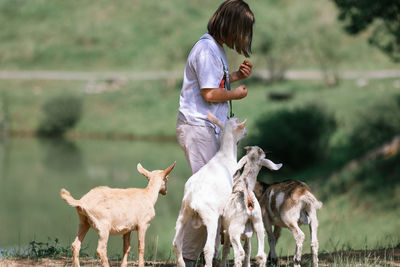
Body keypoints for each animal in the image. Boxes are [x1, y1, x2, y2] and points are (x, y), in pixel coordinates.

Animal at [173, 112, 247, 267]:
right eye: (239, 123)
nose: (246, 131)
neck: (224, 155)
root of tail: (193, 199)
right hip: (210, 216)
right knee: (208, 248)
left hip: (183, 213)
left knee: (176, 243)